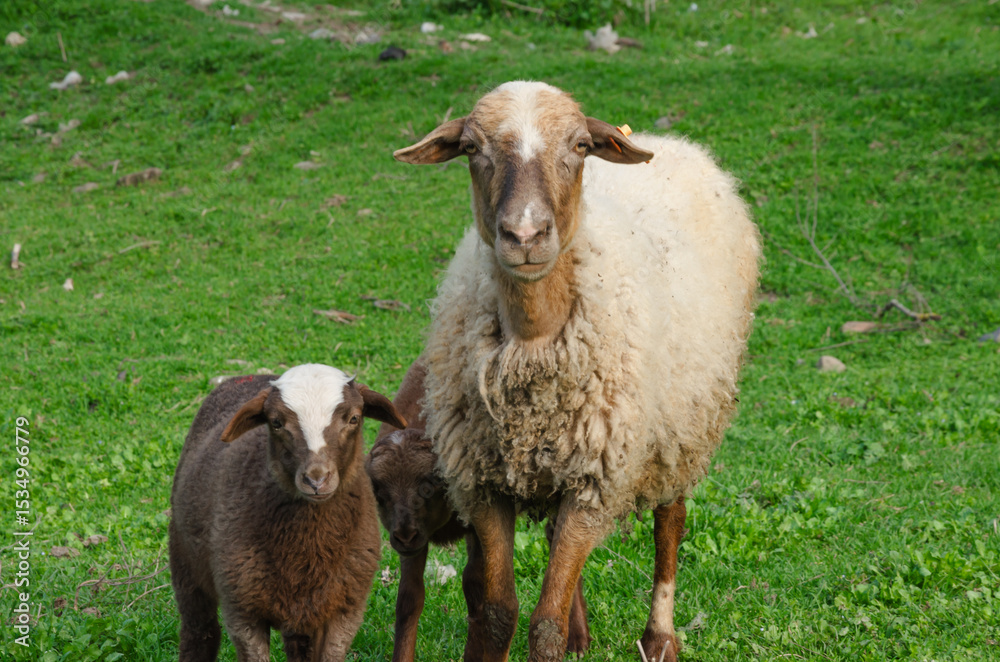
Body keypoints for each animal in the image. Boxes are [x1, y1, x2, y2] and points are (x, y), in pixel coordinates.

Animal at [169, 364, 406, 662]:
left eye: (353, 418)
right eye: (276, 422)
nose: (317, 479)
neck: (307, 549)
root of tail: (250, 376)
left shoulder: (346, 609)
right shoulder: (242, 611)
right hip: (185, 564)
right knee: (200, 632)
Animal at [366, 360, 591, 662]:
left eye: (429, 487)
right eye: (379, 494)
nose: (404, 535)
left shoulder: (477, 524)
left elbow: (474, 585)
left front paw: (473, 652)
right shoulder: (415, 544)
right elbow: (409, 599)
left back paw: (577, 638)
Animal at [393, 81, 761, 662]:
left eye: (581, 146)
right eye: (471, 149)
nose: (525, 234)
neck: (533, 344)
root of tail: (668, 142)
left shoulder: (594, 481)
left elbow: (542, 622)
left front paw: (559, 633)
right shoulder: (484, 481)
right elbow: (498, 612)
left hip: (681, 425)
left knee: (670, 525)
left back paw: (659, 637)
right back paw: (580, 631)